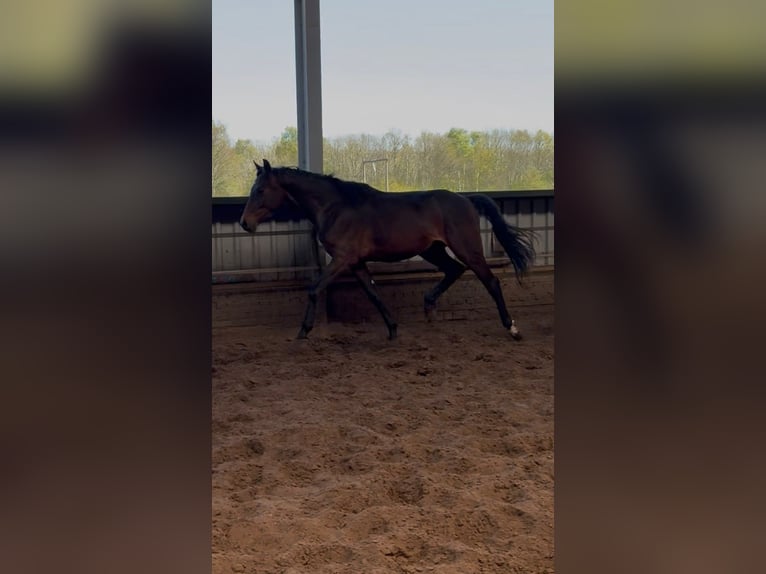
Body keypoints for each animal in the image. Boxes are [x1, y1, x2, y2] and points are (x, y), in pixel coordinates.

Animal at [240, 159, 535, 340]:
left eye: (261, 190)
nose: (245, 223)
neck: (335, 207)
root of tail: (466, 199)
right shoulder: (356, 262)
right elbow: (373, 294)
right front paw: (392, 329)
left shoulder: (342, 259)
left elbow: (314, 289)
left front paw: (303, 330)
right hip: (433, 250)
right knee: (454, 270)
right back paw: (429, 307)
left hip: (466, 248)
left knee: (490, 281)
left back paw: (512, 328)